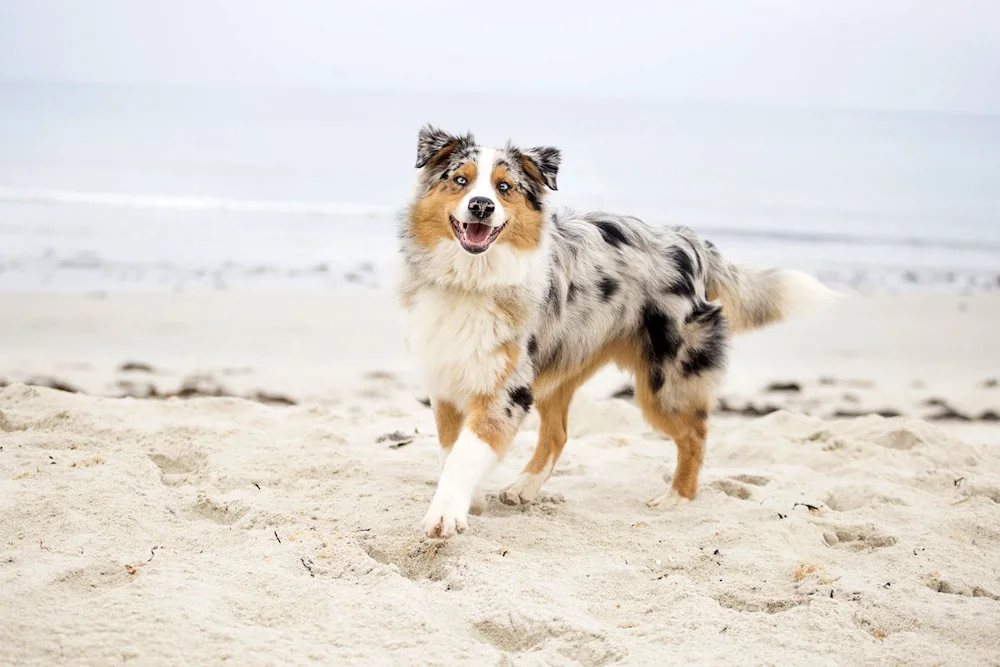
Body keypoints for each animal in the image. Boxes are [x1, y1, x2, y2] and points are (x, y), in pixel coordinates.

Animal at [394, 125, 832, 540]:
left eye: (504, 188)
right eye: (460, 180)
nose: (481, 206)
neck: (472, 279)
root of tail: (688, 241)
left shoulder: (505, 389)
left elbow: (466, 453)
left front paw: (445, 515)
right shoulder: (447, 378)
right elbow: (451, 450)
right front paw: (471, 499)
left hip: (665, 382)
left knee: (696, 433)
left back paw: (677, 497)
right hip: (562, 366)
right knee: (559, 435)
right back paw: (524, 487)